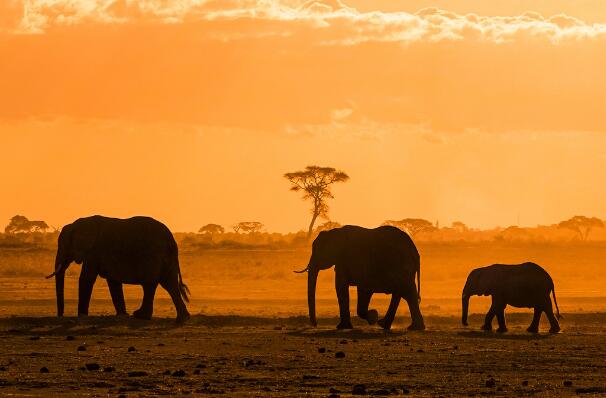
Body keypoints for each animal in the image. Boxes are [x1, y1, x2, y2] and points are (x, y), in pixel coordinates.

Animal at [45, 215, 190, 324]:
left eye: (64, 246)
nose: (60, 316)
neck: (77, 224)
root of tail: (171, 240)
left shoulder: (94, 251)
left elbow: (87, 278)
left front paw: (82, 315)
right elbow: (113, 281)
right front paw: (122, 315)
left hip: (152, 255)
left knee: (150, 284)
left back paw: (140, 316)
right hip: (167, 258)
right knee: (170, 284)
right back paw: (182, 318)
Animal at [296, 225, 426, 332]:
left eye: (318, 252)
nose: (315, 325)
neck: (335, 232)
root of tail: (415, 251)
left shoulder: (354, 259)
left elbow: (350, 287)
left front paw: (372, 317)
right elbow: (343, 287)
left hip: (401, 264)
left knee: (405, 291)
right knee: (406, 293)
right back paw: (403, 326)